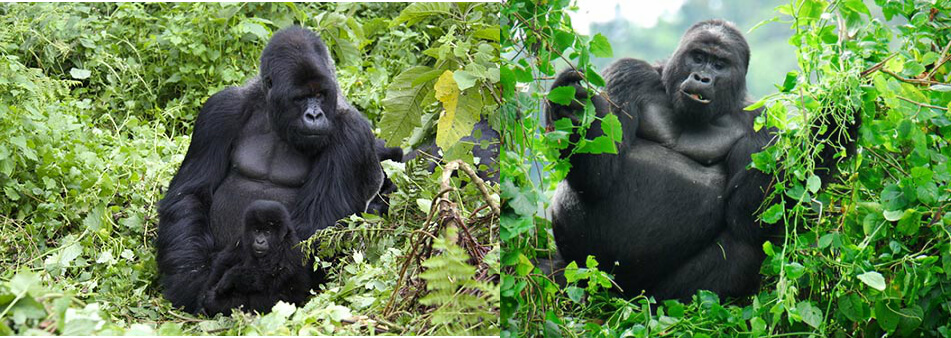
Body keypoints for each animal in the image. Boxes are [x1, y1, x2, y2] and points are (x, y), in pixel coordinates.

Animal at [156, 25, 384, 312]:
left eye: (320, 95)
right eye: (301, 98)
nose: (315, 115)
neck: (275, 120)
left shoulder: (352, 133)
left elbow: (316, 226)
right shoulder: (220, 110)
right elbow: (190, 194)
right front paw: (190, 277)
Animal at [548, 20, 860, 302]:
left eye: (719, 65)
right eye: (697, 57)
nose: (701, 78)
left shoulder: (761, 123)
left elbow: (748, 216)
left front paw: (833, 120)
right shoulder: (628, 73)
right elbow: (600, 176)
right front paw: (570, 109)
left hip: (653, 293)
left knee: (744, 243)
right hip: (590, 272)